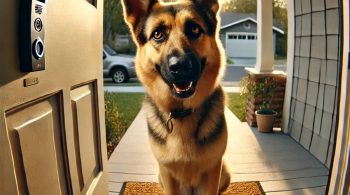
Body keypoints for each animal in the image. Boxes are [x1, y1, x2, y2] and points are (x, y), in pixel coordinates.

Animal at [121, 0, 231, 193]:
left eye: (194, 29)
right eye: (157, 34)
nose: (180, 66)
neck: (182, 112)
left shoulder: (213, 169)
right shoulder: (166, 173)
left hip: (224, 172)